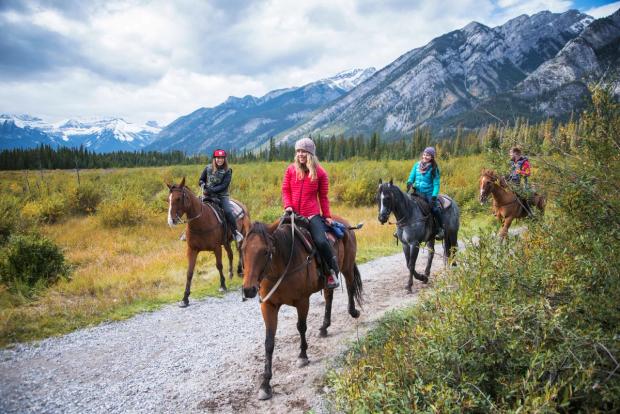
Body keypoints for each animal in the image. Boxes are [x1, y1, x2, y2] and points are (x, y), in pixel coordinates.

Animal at [167, 178, 252, 308]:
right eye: (169, 199)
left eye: (178, 198)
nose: (171, 221)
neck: (201, 222)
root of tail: (241, 205)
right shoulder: (192, 250)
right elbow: (189, 272)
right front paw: (185, 298)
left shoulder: (216, 248)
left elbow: (219, 265)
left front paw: (222, 286)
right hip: (226, 242)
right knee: (231, 254)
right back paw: (231, 273)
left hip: (241, 236)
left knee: (241, 251)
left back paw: (240, 271)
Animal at [241, 212, 364, 400]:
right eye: (243, 249)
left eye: (266, 251)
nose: (248, 289)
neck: (282, 265)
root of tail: (343, 223)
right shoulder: (268, 305)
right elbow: (269, 342)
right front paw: (265, 384)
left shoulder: (302, 301)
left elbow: (301, 327)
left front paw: (303, 356)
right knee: (329, 297)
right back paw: (324, 327)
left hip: (347, 266)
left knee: (350, 286)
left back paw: (353, 312)